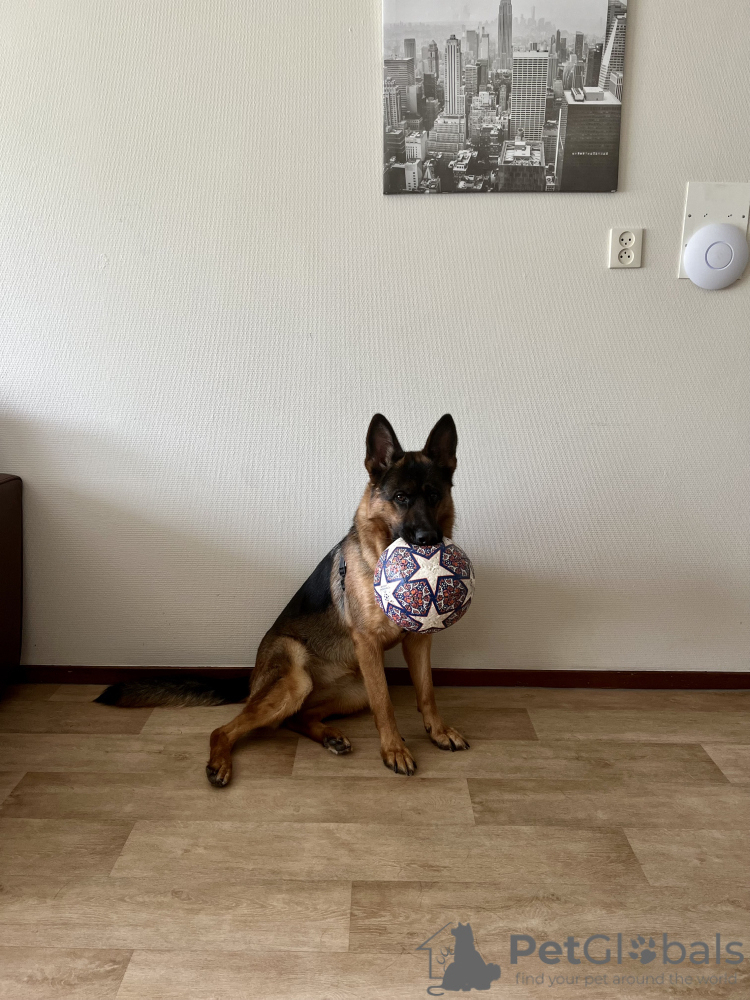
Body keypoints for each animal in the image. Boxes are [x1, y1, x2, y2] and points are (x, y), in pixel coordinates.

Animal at [97, 414, 470, 786]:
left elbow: (427, 691)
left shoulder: (418, 641)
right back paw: (220, 763)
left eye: (434, 495)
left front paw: (438, 732)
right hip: (296, 678)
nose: (428, 539)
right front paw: (394, 750)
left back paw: (329, 736)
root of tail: (252, 678)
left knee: (295, 718)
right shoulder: (368, 644)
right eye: (401, 497)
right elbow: (386, 706)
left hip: (354, 690)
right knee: (224, 729)